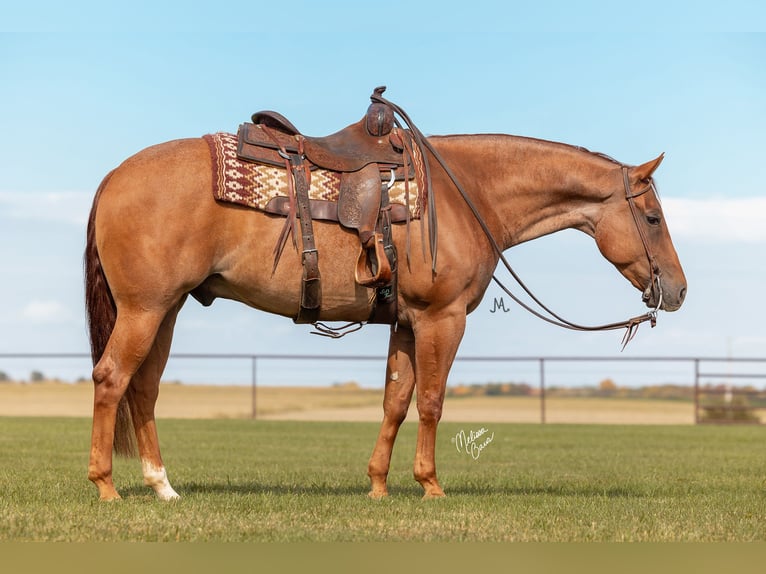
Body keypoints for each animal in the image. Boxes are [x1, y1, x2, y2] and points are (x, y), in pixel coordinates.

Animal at [84, 101, 688, 502]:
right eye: (653, 218)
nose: (678, 290)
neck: (466, 194)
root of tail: (114, 176)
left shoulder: (404, 321)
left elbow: (395, 400)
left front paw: (377, 485)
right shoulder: (442, 319)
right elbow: (432, 401)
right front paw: (431, 485)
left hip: (167, 309)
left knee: (143, 388)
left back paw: (162, 487)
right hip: (145, 309)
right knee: (113, 378)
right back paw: (106, 487)